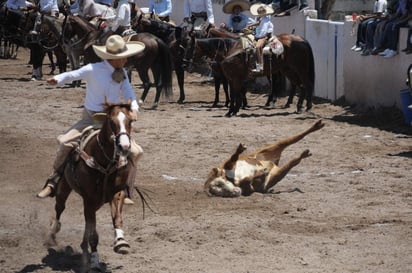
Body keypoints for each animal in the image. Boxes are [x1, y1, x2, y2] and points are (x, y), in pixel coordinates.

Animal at [48, 99, 144, 270]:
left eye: (130, 121)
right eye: (111, 121)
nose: (124, 147)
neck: (104, 163)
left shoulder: (116, 193)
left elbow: (117, 218)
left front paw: (121, 242)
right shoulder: (89, 200)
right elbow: (93, 234)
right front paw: (94, 261)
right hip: (64, 187)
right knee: (59, 207)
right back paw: (53, 232)